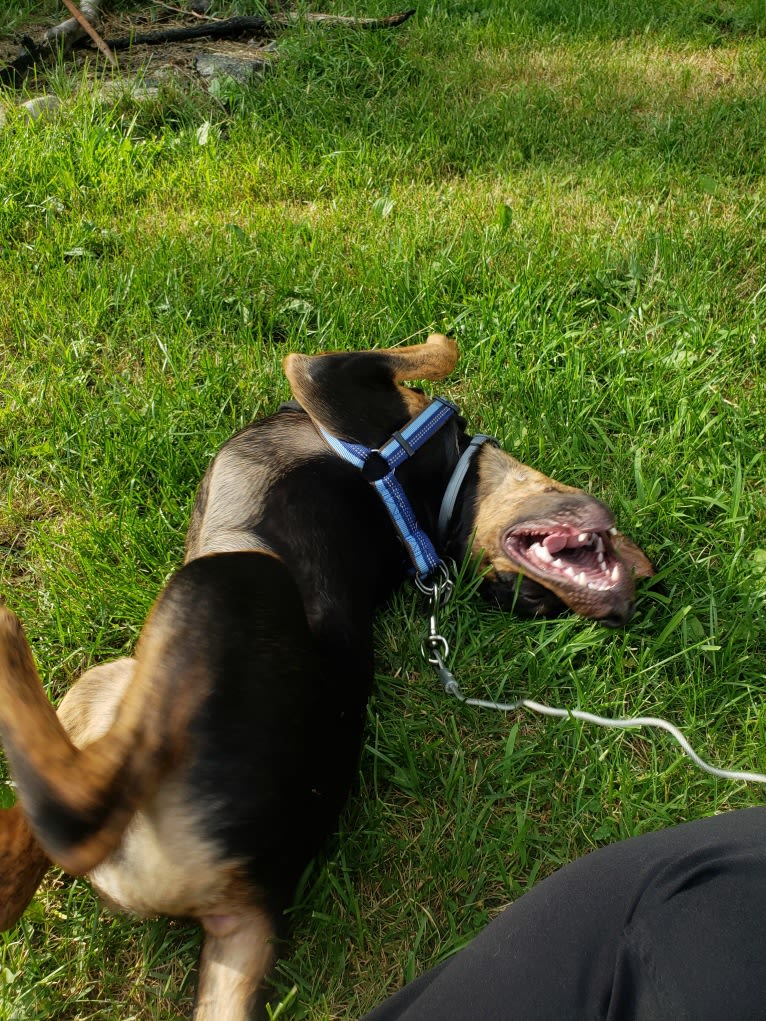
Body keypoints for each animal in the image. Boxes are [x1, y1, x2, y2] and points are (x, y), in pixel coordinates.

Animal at [0, 332, 653, 1012]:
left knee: (75, 818)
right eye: (527, 604)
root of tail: (253, 891)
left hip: (223, 582)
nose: (617, 606)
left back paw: (9, 645)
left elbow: (435, 350)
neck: (444, 495)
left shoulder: (322, 375)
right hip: (115, 677)